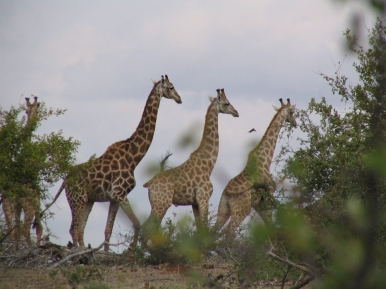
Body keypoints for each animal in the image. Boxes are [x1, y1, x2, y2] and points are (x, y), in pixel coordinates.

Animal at [1, 96, 43, 245]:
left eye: (28, 110)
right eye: (37, 108)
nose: (34, 116)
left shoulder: (18, 205)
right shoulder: (35, 202)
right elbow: (36, 228)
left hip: (12, 205)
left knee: (15, 228)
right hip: (28, 206)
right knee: (27, 228)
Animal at [46, 75, 182, 250]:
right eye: (171, 87)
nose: (179, 99)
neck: (133, 157)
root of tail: (65, 181)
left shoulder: (114, 198)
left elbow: (108, 230)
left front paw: (108, 252)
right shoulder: (120, 193)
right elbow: (137, 223)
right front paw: (131, 251)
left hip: (88, 200)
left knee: (79, 229)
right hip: (78, 199)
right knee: (74, 229)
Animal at [142, 88, 238, 241]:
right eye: (227, 103)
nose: (236, 112)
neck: (209, 164)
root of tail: (149, 184)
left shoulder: (194, 203)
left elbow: (200, 230)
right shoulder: (203, 198)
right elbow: (204, 228)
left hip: (157, 204)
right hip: (161, 204)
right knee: (147, 229)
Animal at [216, 98, 298, 233]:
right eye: (292, 112)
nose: (295, 123)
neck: (265, 160)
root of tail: (226, 194)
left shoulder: (258, 204)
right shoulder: (268, 195)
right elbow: (271, 226)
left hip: (223, 211)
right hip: (241, 211)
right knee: (229, 232)